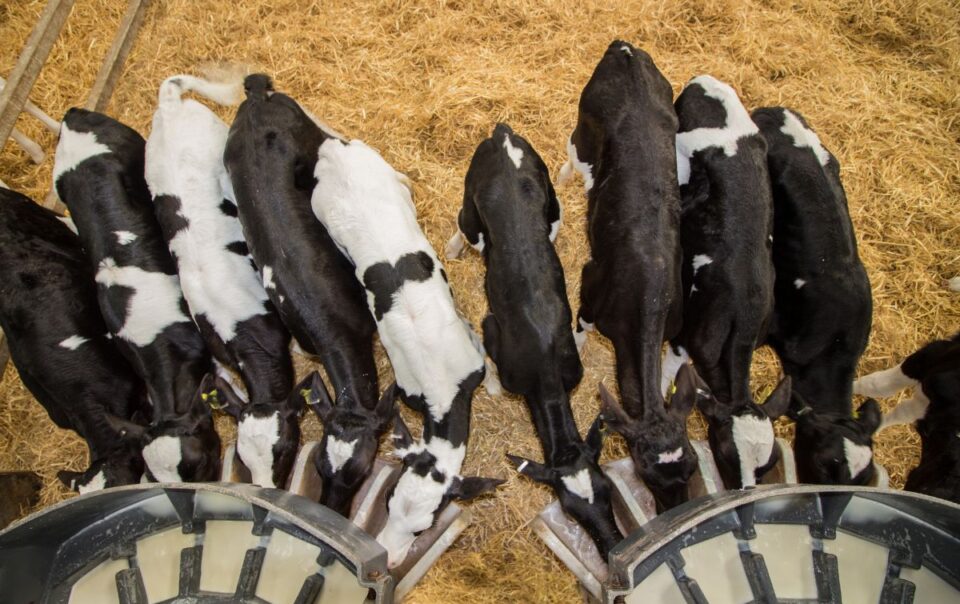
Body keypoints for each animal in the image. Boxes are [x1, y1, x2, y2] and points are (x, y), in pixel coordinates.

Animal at [224, 74, 393, 515]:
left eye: (363, 469)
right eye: (318, 462)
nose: (334, 508)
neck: (331, 326)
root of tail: (256, 97)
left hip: (308, 133)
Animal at [310, 135, 502, 568]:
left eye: (423, 528)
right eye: (387, 502)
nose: (391, 558)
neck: (441, 386)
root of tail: (334, 147)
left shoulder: (470, 352)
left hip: (387, 176)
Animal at [447, 123, 624, 558]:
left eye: (607, 489)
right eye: (569, 508)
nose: (611, 544)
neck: (546, 373)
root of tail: (502, 133)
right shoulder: (492, 330)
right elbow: (488, 360)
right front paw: (492, 389)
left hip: (553, 207)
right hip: (472, 205)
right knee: (462, 224)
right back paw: (452, 248)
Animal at [558, 40, 698, 513]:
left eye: (693, 463)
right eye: (643, 468)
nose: (676, 509)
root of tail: (626, 50)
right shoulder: (589, 284)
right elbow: (579, 327)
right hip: (584, 126)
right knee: (572, 151)